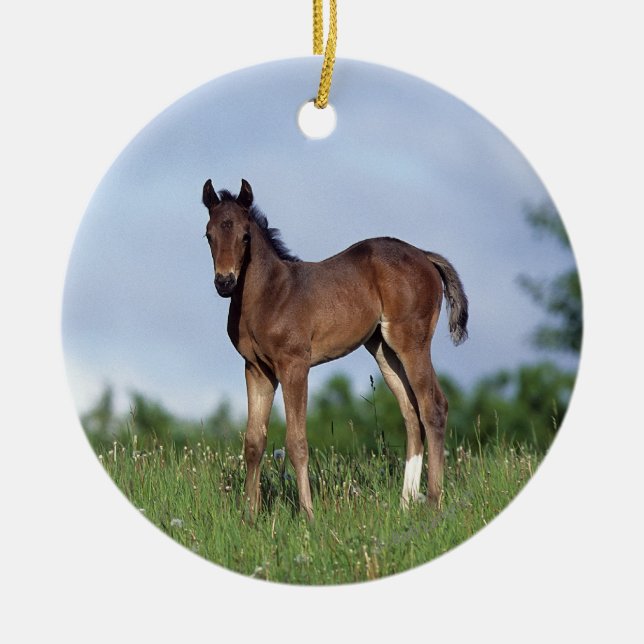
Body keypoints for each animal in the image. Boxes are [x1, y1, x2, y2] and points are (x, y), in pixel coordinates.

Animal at [202, 178, 468, 521]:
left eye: (245, 236)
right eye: (208, 235)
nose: (225, 282)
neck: (269, 294)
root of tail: (424, 255)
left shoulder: (294, 365)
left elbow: (297, 441)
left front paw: (307, 514)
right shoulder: (256, 369)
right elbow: (253, 442)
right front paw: (249, 516)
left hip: (412, 341)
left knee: (433, 406)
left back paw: (433, 502)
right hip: (383, 350)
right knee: (411, 413)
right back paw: (405, 504)